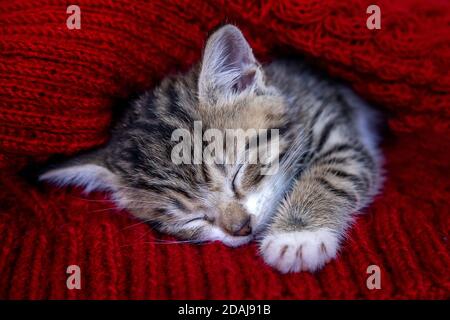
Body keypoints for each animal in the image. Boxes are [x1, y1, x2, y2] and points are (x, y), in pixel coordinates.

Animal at [40, 25, 382, 272]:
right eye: (192, 219)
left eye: (238, 172)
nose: (241, 228)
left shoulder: (333, 124)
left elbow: (334, 171)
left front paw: (297, 236)